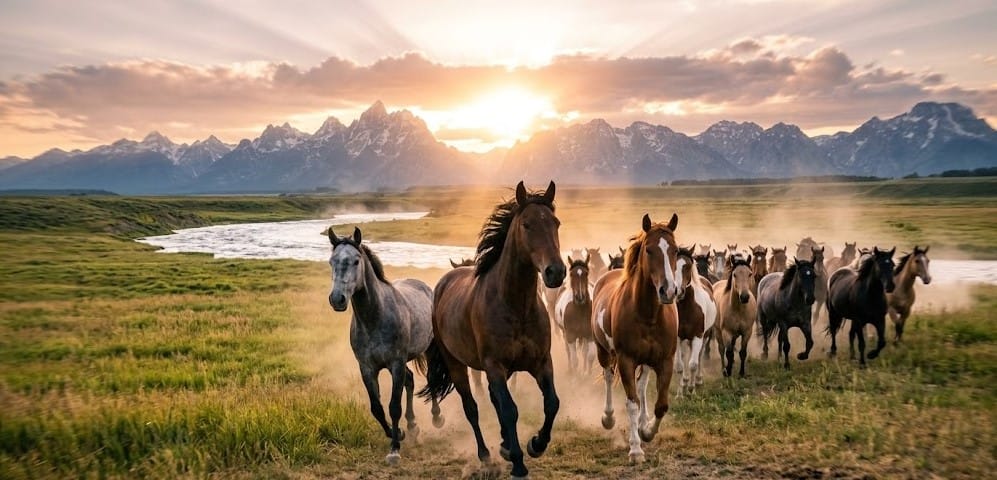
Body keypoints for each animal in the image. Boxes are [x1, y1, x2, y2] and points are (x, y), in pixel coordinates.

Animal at [327, 226, 440, 465]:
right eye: (332, 261)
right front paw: (399, 433)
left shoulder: (395, 364)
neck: (374, 318)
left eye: (356, 261)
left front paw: (394, 449)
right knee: (411, 380)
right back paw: (412, 426)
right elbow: (377, 408)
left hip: (429, 349)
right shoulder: (367, 368)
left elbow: (393, 407)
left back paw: (436, 417)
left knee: (432, 378)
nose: (337, 299)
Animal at [419, 181, 565, 479]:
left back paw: (504, 445)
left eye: (555, 223)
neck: (516, 306)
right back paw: (486, 454)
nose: (555, 272)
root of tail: (442, 285)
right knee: (472, 408)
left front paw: (536, 444)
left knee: (493, 401)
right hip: (457, 365)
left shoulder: (541, 362)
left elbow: (551, 403)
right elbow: (509, 410)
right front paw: (518, 461)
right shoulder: (495, 365)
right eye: (527, 224)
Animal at [591, 213, 680, 464]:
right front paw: (635, 449)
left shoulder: (665, 360)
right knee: (609, 377)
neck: (647, 314)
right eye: (649, 250)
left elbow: (661, 405)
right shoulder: (626, 360)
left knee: (642, 386)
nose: (668, 291)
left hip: (647, 361)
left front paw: (647, 431)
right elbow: (631, 403)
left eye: (676, 251)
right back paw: (608, 417)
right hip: (603, 351)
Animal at [674, 247, 718, 395]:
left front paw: (692, 390)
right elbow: (680, 366)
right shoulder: (678, 338)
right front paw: (680, 393)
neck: (687, 308)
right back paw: (686, 381)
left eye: (687, 266)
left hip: (705, 336)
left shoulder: (698, 336)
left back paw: (697, 380)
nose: (678, 291)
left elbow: (693, 364)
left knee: (698, 356)